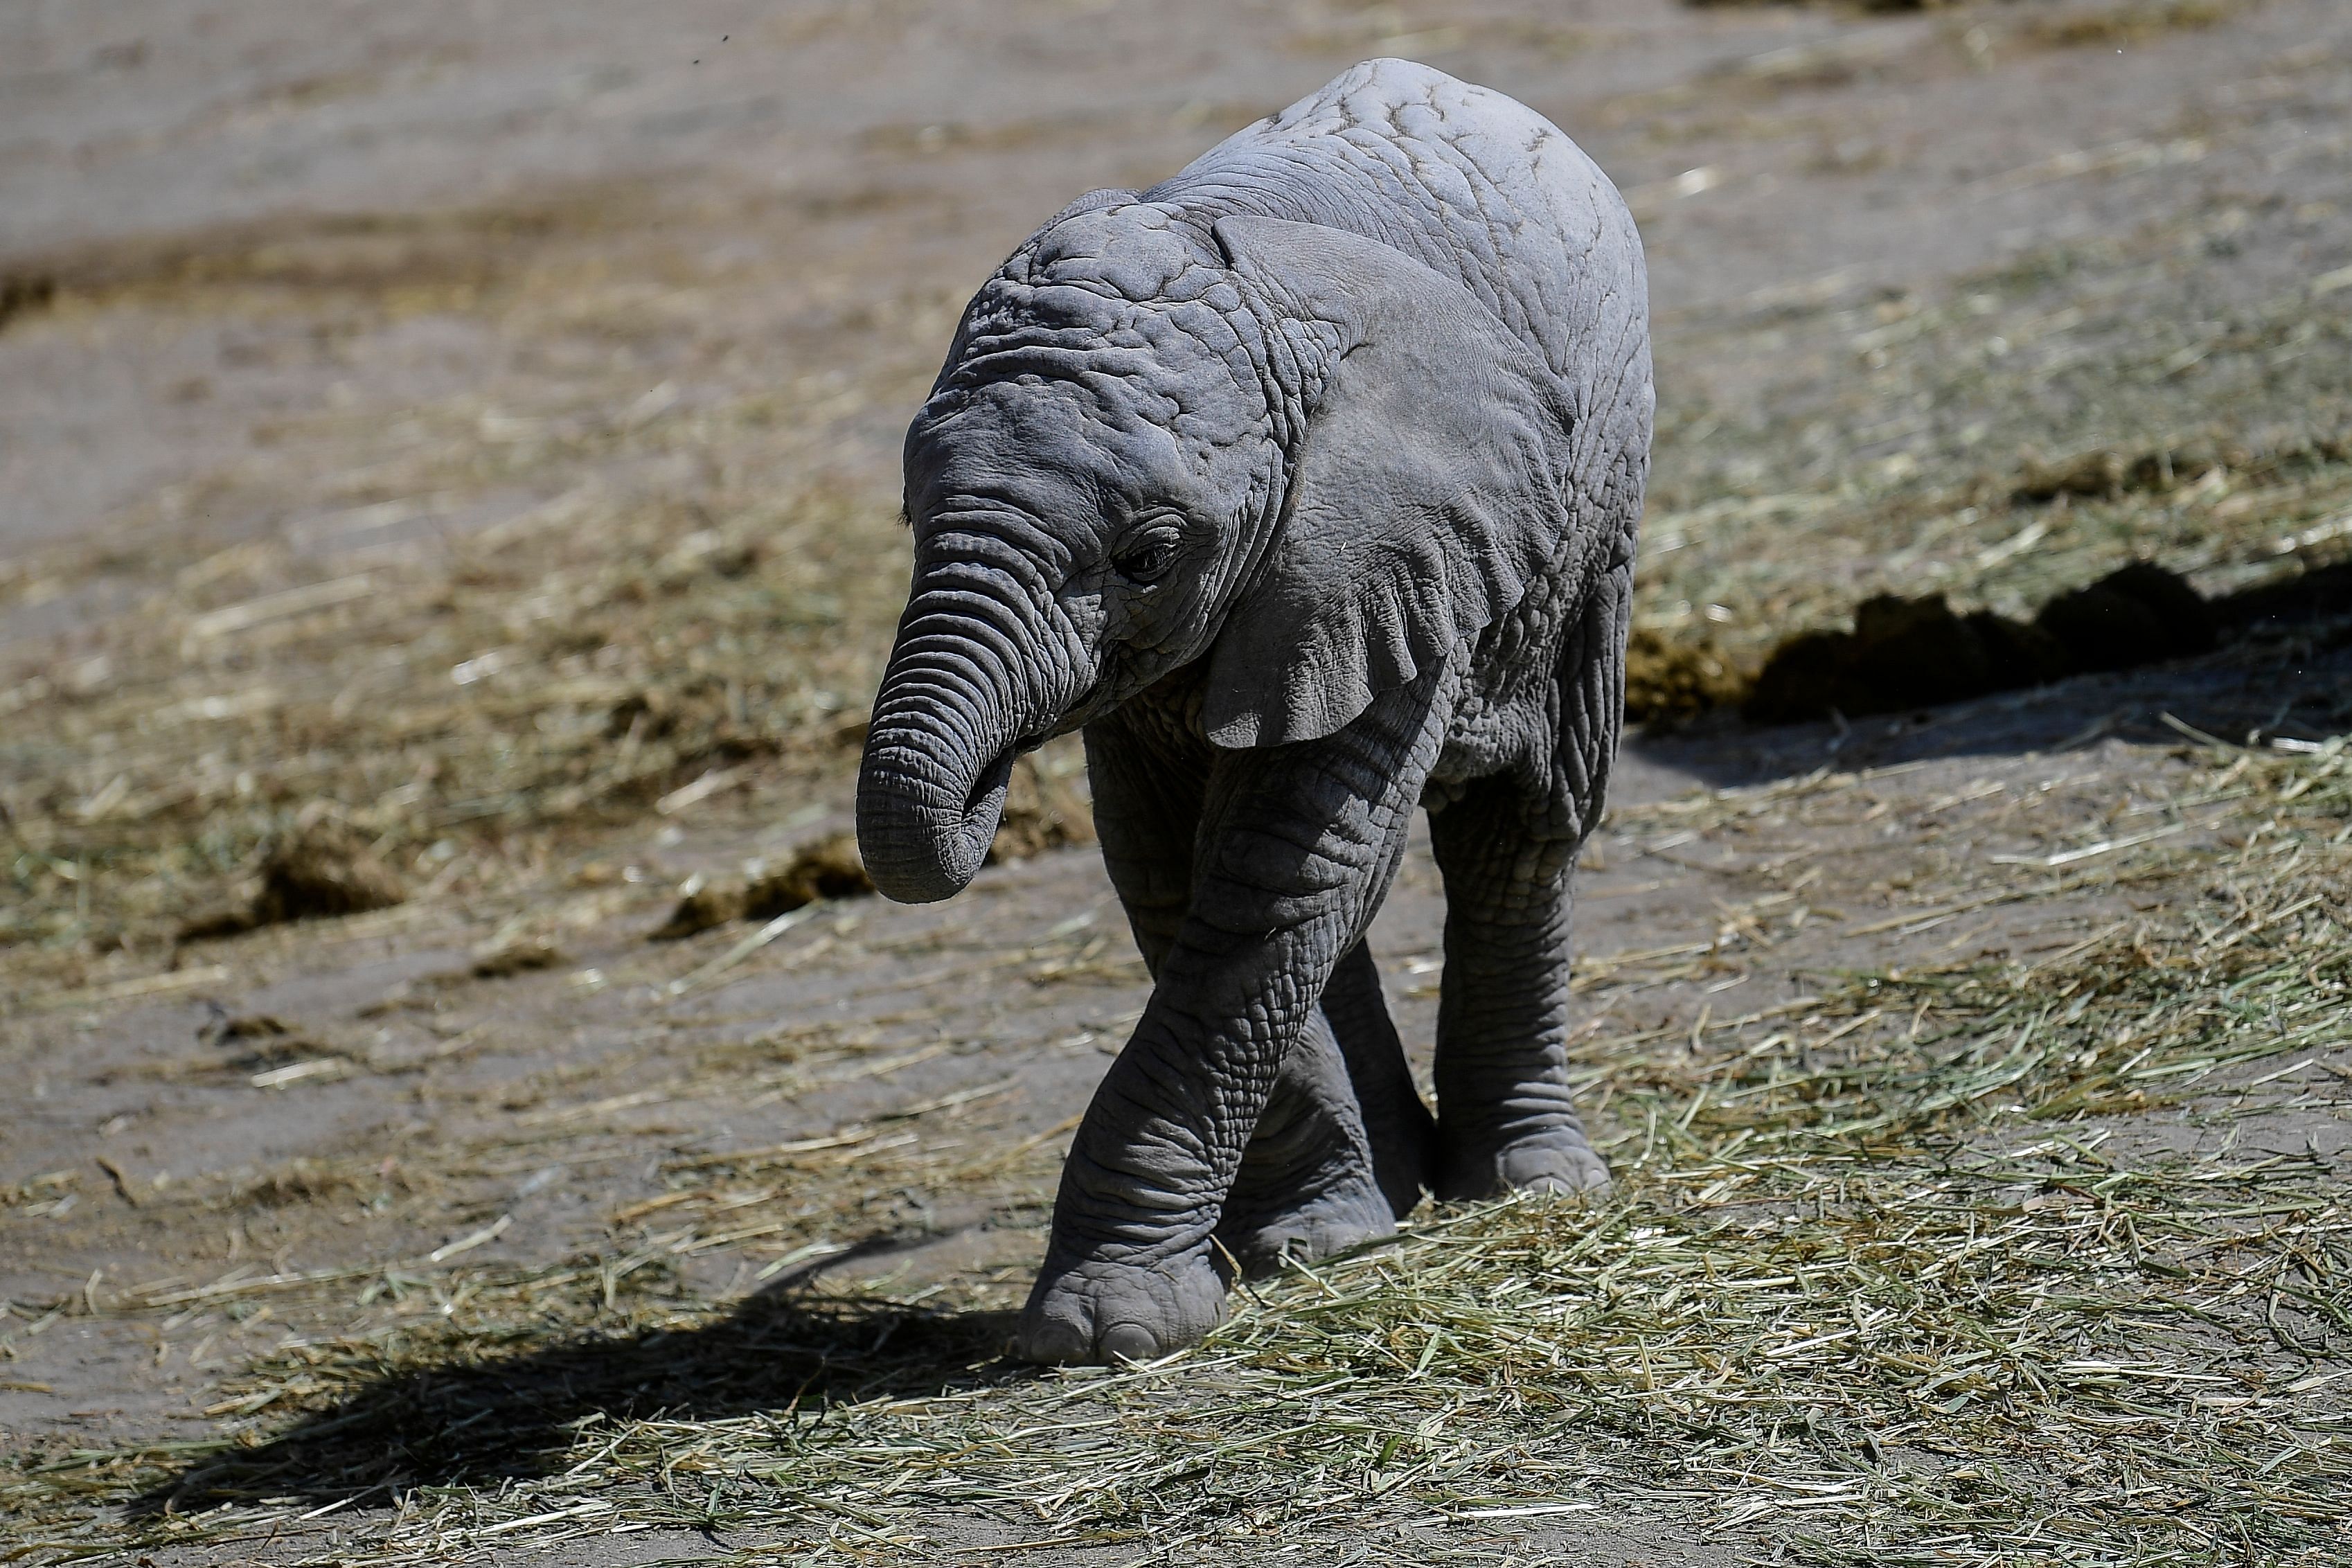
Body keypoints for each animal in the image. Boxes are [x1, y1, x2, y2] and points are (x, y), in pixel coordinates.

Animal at [856, 58, 1646, 1363]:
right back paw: (1396, 1191)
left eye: (1146, 556)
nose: (988, 785)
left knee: (1520, 831)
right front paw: (1315, 1244)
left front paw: (1111, 1329)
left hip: (1597, 531)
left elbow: (1277, 876)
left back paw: (1524, 1184)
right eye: (912, 517)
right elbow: (1179, 875)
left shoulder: (1383, 547)